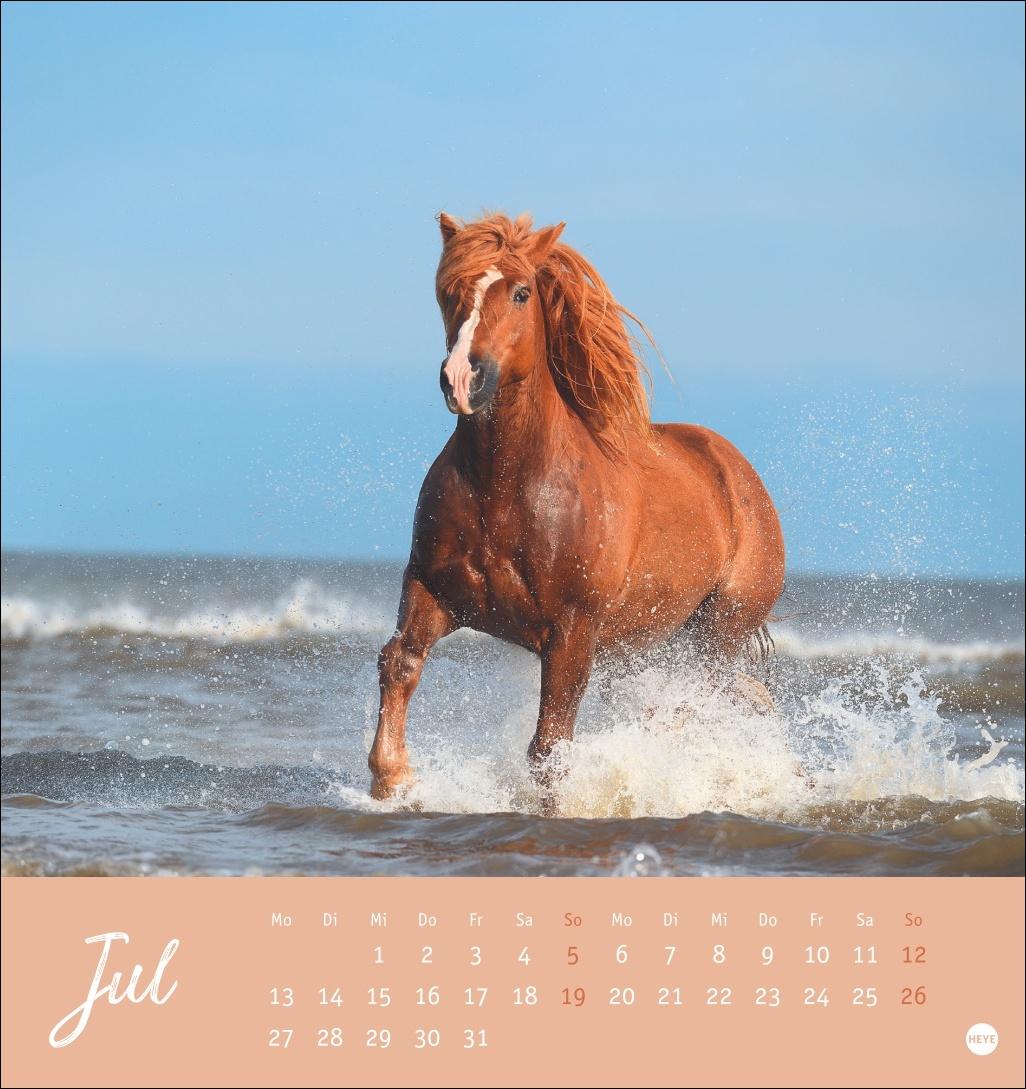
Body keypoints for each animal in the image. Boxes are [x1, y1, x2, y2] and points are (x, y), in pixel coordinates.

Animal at [369, 212, 785, 806]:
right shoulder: (432, 589)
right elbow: (399, 661)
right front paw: (392, 779)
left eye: (521, 292)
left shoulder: (571, 632)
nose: (463, 378)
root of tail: (740, 473)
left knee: (689, 702)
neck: (505, 488)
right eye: (448, 292)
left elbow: (549, 748)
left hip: (717, 632)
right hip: (644, 646)